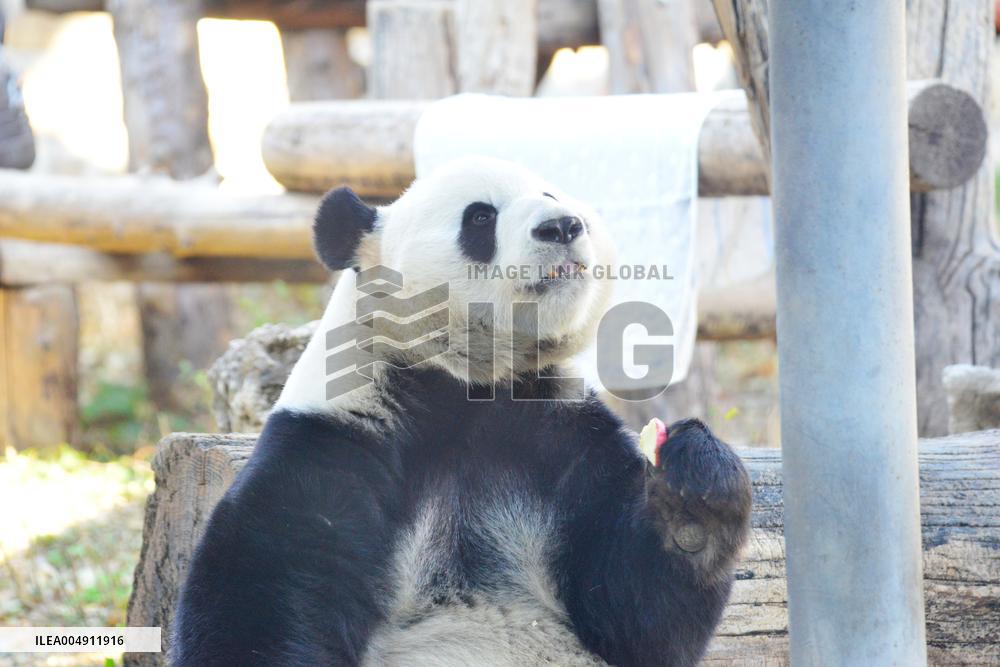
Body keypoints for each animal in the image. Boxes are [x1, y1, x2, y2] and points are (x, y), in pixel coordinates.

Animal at [173, 157, 752, 667]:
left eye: (552, 194)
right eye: (480, 217)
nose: (563, 225)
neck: (467, 388)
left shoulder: (560, 438)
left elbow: (634, 617)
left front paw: (695, 485)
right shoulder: (334, 448)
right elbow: (262, 600)